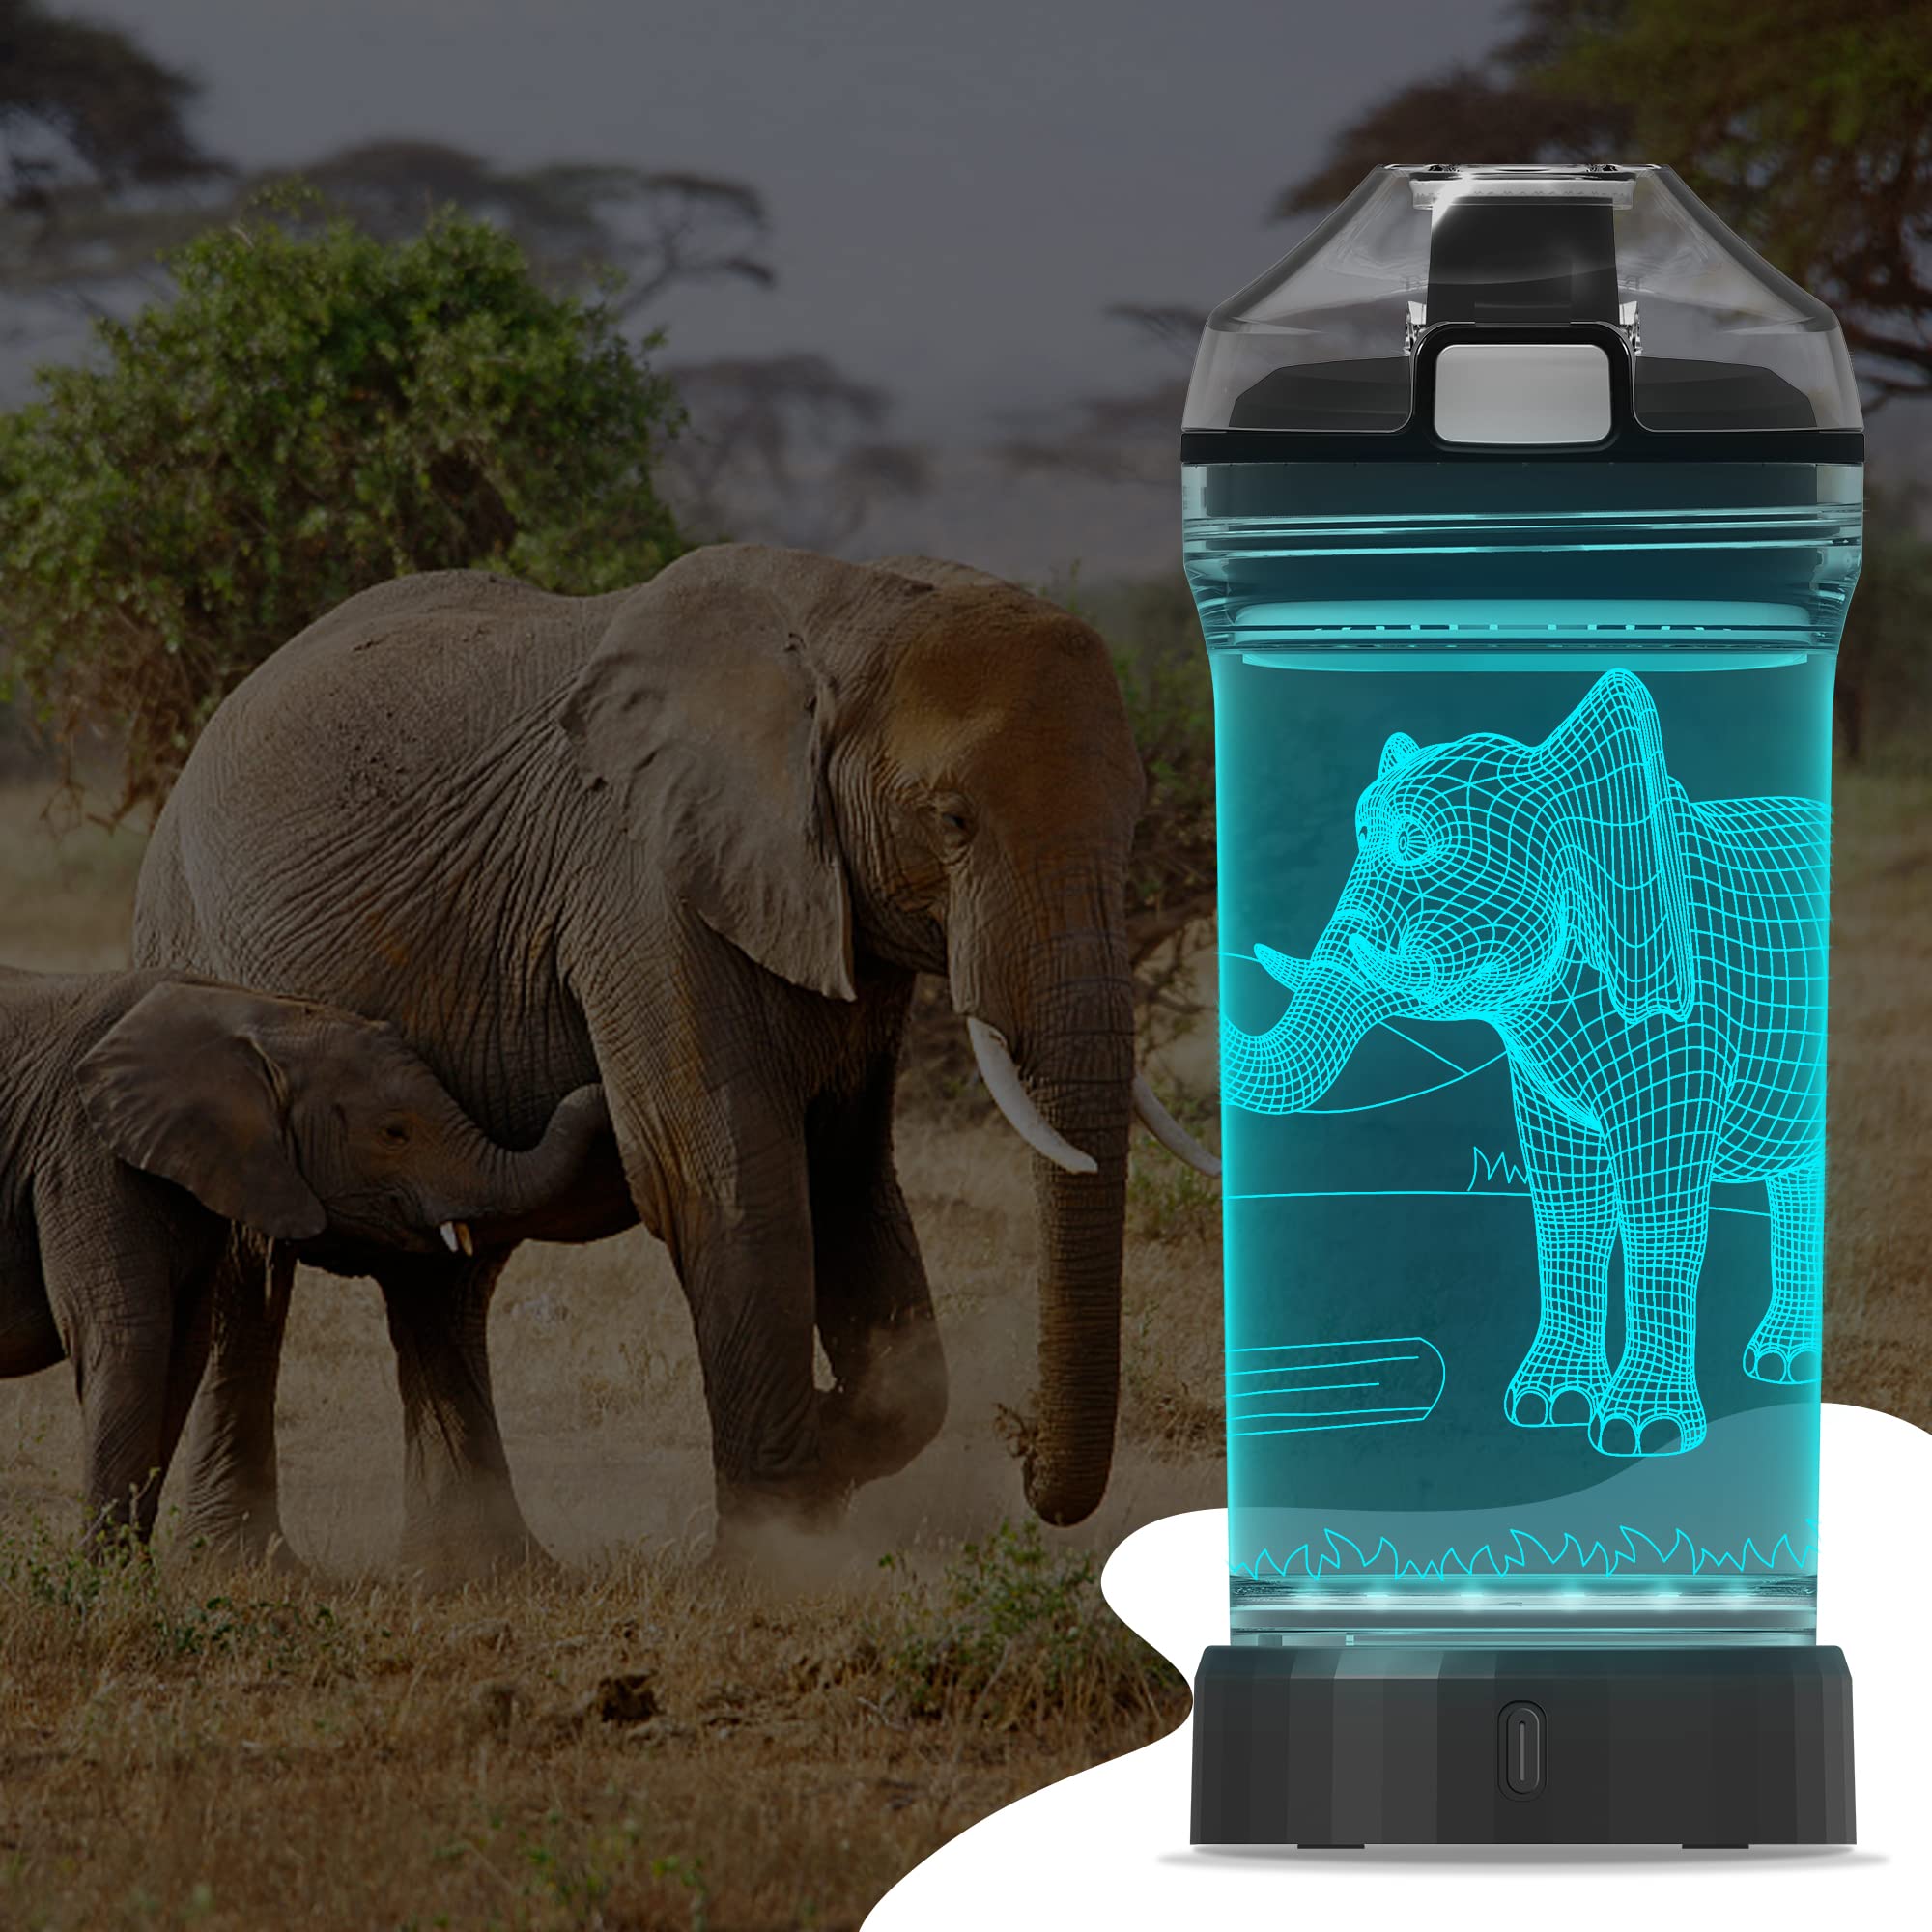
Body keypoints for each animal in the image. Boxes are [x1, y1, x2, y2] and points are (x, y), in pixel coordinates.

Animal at [0, 967, 609, 1542]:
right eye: (394, 1133)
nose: (599, 1089)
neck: (243, 1010)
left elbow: (183, 1349)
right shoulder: (79, 1155)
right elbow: (128, 1339)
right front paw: (105, 1573)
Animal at [131, 544, 1215, 1576]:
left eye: (1133, 816)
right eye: (951, 819)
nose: (1023, 1445)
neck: (845, 616)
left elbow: (849, 1173)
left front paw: (827, 1456)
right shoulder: (639, 887)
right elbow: (722, 1174)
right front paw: (774, 1549)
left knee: (448, 1272)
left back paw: (484, 1567)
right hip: (192, 942)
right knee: (253, 1260)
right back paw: (253, 1564)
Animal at [1222, 668, 1826, 1459]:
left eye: (1418, 845)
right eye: (1362, 837)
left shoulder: (1682, 1012)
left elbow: (1658, 1204)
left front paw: (1642, 1433)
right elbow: (1565, 1202)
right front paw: (1549, 1409)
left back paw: (1785, 1368)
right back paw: (1780, 1365)